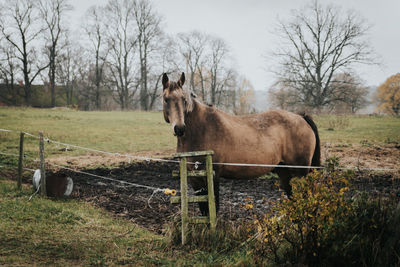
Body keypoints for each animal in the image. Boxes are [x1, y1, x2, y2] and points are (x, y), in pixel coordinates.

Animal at [161, 71, 320, 216]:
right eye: (166, 99)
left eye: (183, 99)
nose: (180, 128)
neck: (201, 129)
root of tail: (301, 117)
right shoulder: (194, 179)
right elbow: (204, 210)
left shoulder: (213, 176)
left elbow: (214, 208)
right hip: (284, 171)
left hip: (300, 173)